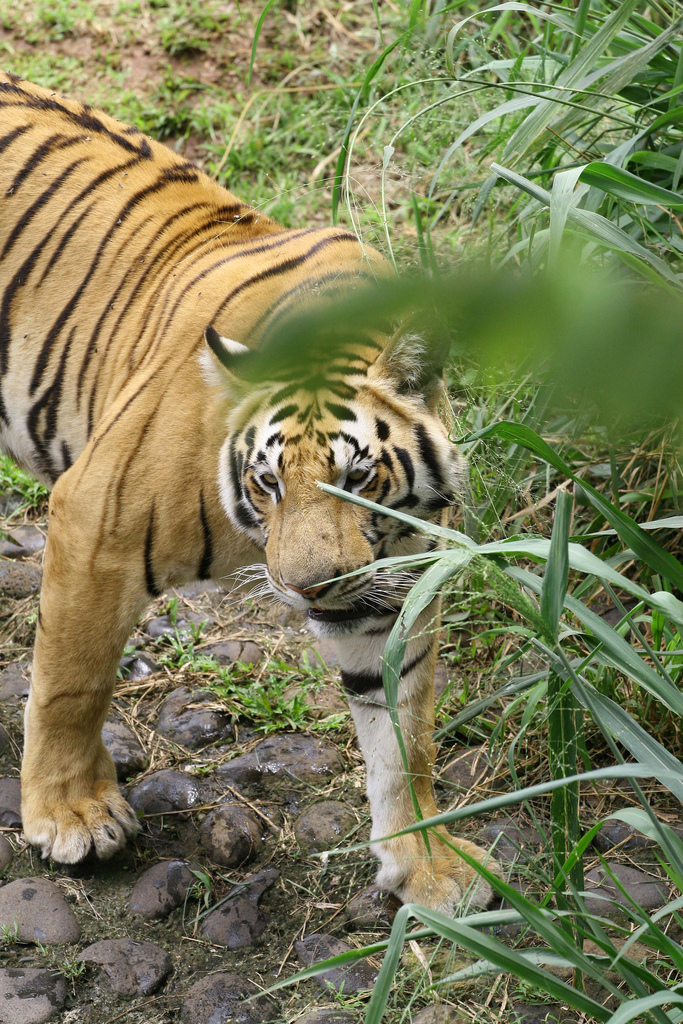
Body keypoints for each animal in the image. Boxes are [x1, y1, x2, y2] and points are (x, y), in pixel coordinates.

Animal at [0, 70, 498, 913]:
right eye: (267, 484)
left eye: (357, 478)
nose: (308, 588)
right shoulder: (92, 525)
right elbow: (71, 683)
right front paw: (71, 816)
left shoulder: (392, 584)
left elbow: (405, 733)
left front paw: (425, 863)